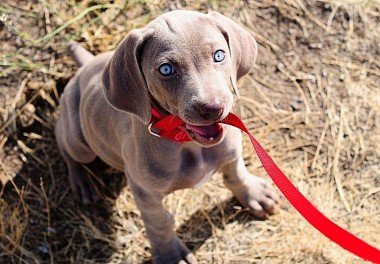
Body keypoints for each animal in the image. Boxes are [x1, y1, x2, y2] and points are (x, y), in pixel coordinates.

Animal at [54, 10, 280, 264]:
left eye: (219, 55)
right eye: (166, 70)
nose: (212, 108)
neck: (187, 142)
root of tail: (86, 66)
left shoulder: (232, 151)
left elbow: (237, 173)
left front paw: (254, 194)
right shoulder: (145, 193)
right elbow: (159, 223)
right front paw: (170, 254)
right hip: (78, 140)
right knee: (63, 141)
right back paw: (82, 181)